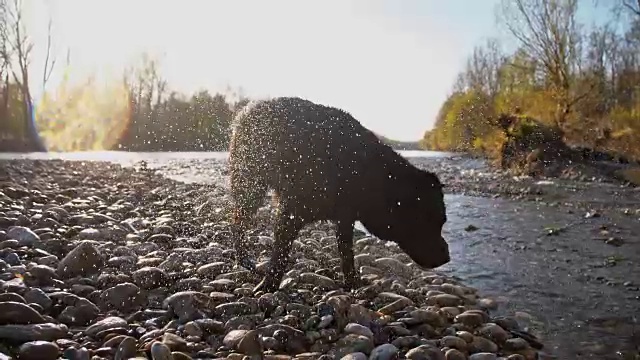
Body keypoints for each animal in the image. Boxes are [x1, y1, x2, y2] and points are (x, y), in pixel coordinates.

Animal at [230, 96, 450, 292]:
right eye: (425, 223)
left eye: (442, 222)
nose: (446, 256)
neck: (361, 173)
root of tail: (248, 108)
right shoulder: (290, 213)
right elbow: (280, 252)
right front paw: (268, 285)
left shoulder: (345, 218)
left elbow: (346, 252)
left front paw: (352, 282)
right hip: (249, 185)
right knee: (238, 221)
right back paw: (243, 258)